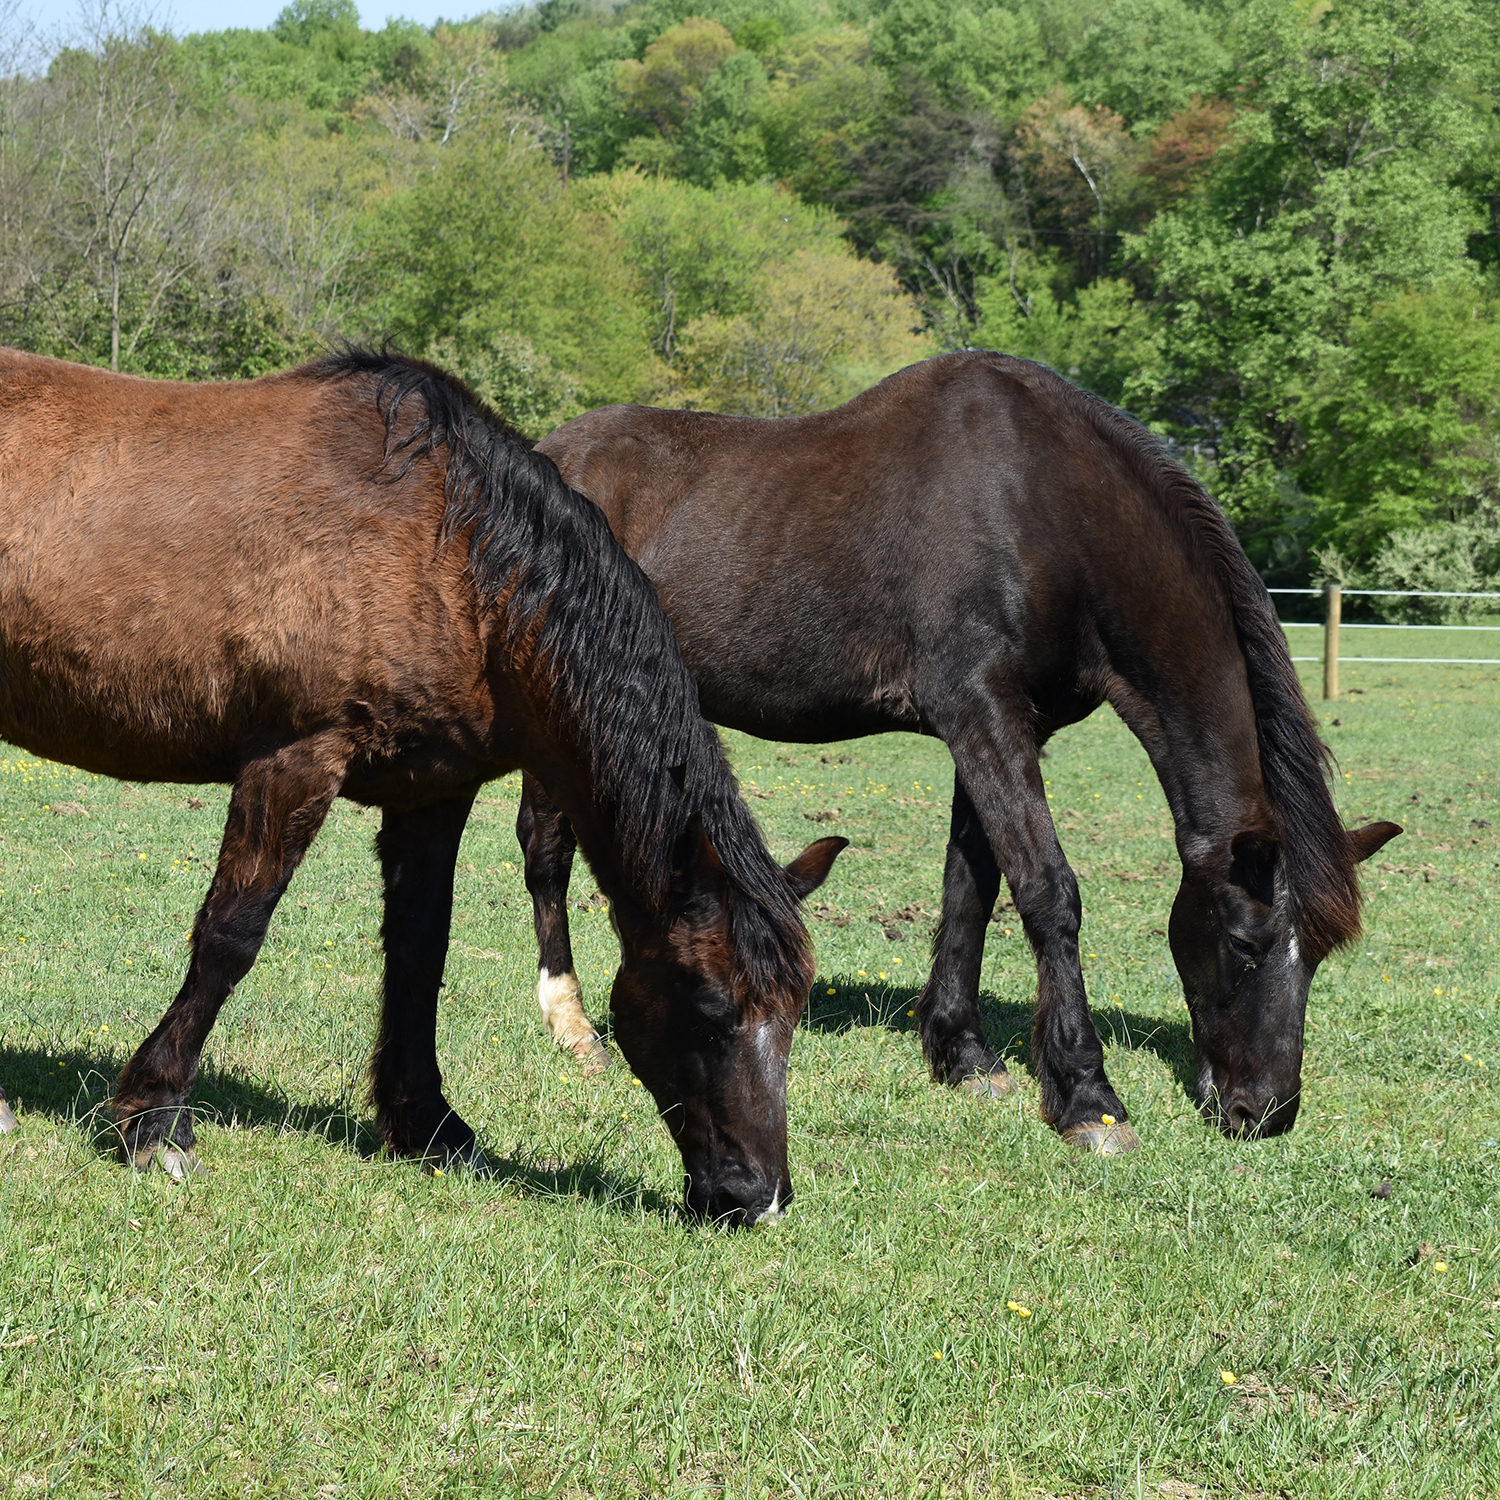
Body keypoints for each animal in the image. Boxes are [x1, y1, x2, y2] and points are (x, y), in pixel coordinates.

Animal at [0, 347, 843, 1225]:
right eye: (711, 1004)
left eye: (794, 1009)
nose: (758, 1198)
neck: (452, 560)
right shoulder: (294, 760)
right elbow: (231, 937)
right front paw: (157, 1117)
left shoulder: (429, 795)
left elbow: (419, 951)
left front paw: (426, 1124)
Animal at [515, 351, 1401, 1154]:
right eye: (1248, 944)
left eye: (1320, 956)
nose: (1266, 1112)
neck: (1050, 511)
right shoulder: (979, 710)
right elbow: (1047, 890)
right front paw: (1087, 1098)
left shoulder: (1004, 726)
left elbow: (971, 886)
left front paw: (963, 1055)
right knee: (545, 850)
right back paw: (574, 1028)